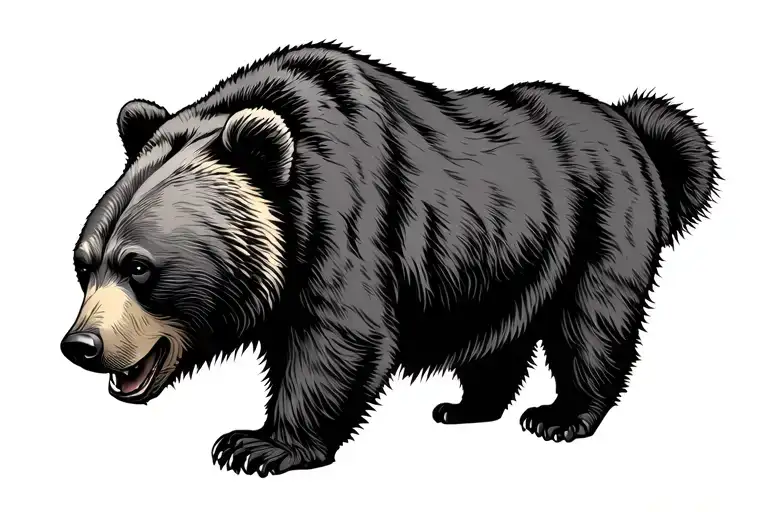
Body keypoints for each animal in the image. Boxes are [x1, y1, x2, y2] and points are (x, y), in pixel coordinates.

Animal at [61, 42, 719, 477]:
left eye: (139, 265)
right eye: (84, 263)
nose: (82, 345)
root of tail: (630, 125)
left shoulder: (350, 220)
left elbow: (341, 338)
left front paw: (256, 446)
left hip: (601, 222)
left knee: (592, 323)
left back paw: (561, 416)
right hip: (510, 254)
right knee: (498, 339)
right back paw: (465, 407)